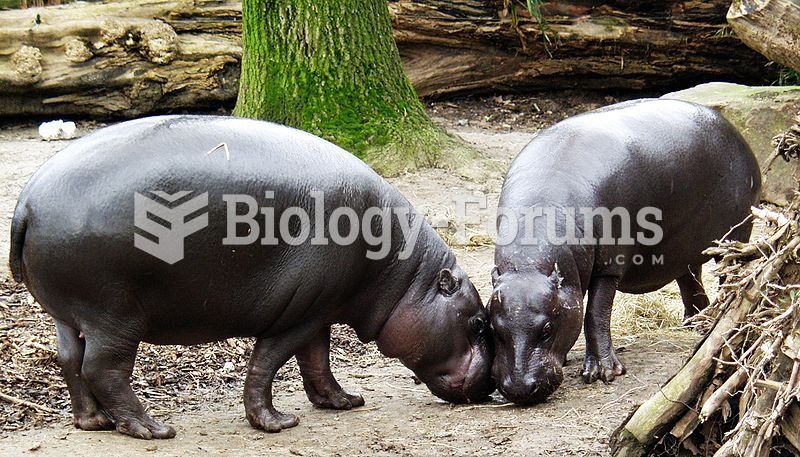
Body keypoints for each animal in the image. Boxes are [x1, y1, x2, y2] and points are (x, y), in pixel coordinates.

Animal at [10, 116, 494, 438]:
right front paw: (276, 423)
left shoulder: (319, 308)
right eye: (477, 322)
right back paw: (151, 428)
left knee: (69, 359)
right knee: (102, 368)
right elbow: (268, 363)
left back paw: (93, 422)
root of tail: (28, 201)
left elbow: (317, 361)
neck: (404, 276)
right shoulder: (297, 314)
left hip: (69, 313)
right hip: (115, 315)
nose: (491, 384)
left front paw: (343, 402)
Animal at [490, 99, 760, 402]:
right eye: (493, 327)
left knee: (730, 276)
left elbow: (595, 314)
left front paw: (603, 373)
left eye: (547, 328)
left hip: (734, 236)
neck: (529, 266)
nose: (519, 389)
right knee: (691, 279)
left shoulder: (608, 267)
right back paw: (698, 323)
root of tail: (734, 130)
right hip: (685, 248)